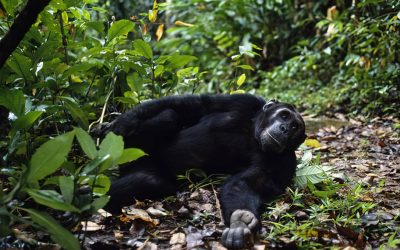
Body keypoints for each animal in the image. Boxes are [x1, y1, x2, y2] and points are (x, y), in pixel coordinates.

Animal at [97, 94, 306, 249]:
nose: (285, 128)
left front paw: (241, 222)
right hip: (127, 151)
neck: (252, 134)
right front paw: (119, 124)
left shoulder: (283, 162)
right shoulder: (244, 101)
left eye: (295, 126)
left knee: (147, 180)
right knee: (170, 115)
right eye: (284, 116)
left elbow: (248, 183)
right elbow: (192, 104)